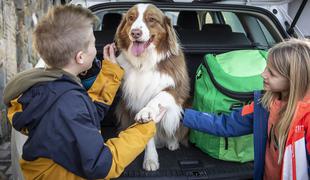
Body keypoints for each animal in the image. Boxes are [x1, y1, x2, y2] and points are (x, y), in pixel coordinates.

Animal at [115, 3, 190, 171]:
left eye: (151, 19)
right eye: (131, 18)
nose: (135, 33)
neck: (145, 63)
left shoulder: (177, 90)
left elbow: (159, 97)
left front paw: (147, 111)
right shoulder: (135, 99)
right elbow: (146, 133)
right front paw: (150, 159)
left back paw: (172, 142)